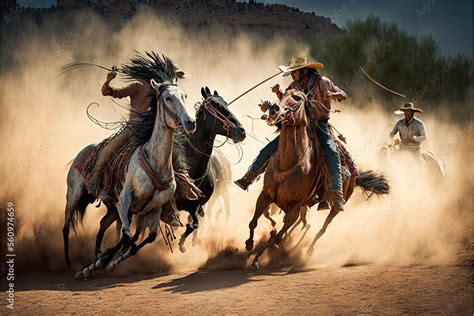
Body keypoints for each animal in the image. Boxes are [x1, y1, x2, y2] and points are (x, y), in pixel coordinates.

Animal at [177, 87, 244, 252]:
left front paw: (183, 243)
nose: (241, 131)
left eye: (225, 103)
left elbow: (193, 224)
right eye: (215, 104)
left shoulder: (196, 205)